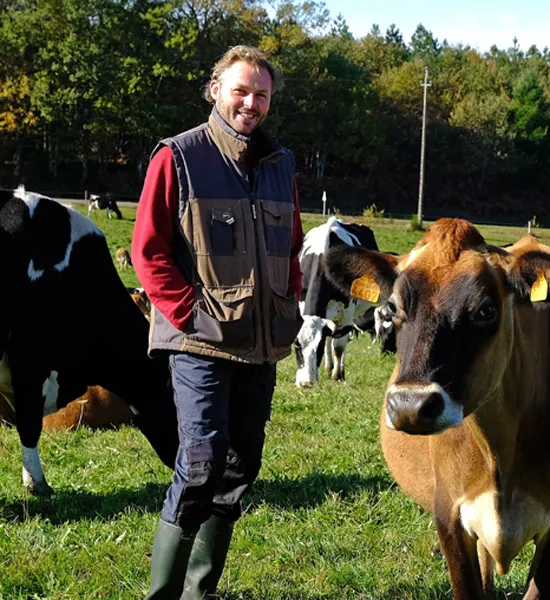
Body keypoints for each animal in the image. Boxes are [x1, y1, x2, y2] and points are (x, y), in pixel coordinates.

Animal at [296, 218, 382, 386]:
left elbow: (339, 348)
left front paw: (338, 377)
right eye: (297, 345)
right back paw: (328, 367)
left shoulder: (346, 315)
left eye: (318, 349)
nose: (305, 384)